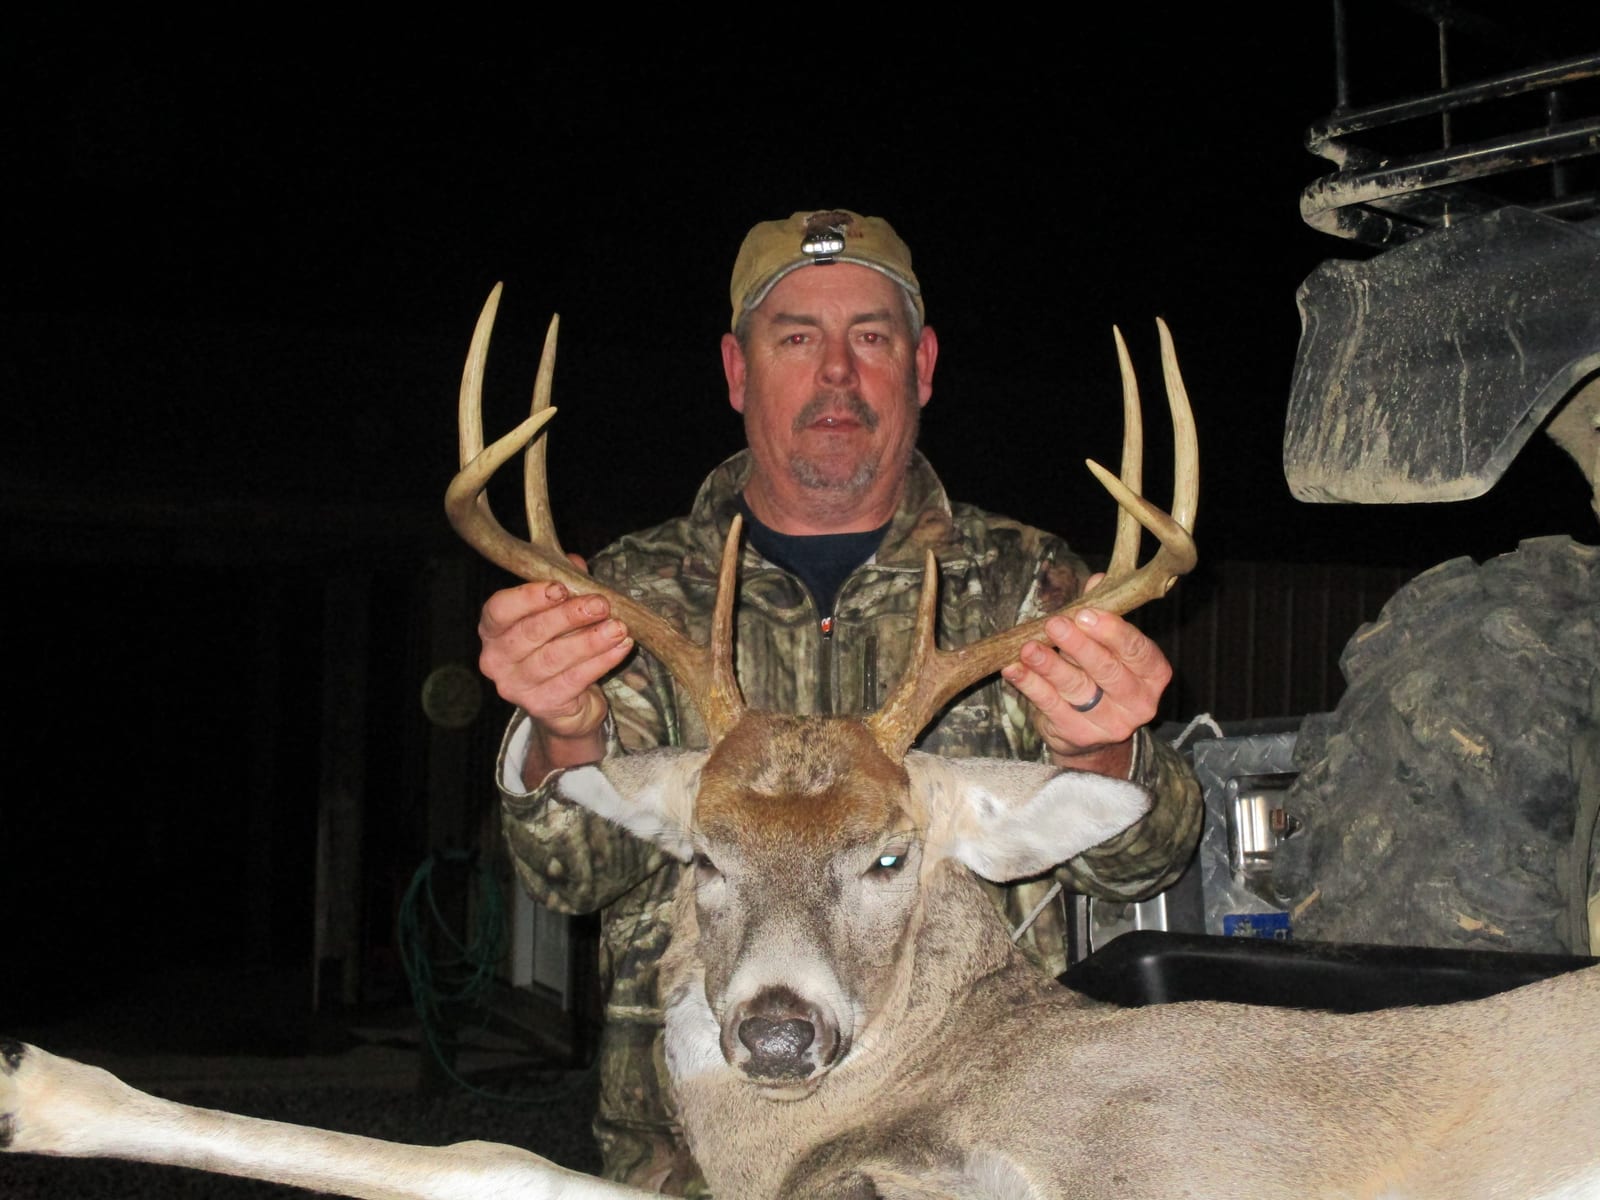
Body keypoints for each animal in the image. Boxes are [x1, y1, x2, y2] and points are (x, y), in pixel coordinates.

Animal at [4, 286, 1597, 1199]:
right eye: (704, 856)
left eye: (889, 855)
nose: (777, 1030)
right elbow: (487, 1157)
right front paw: (40, 1088)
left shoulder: (1186, 1153)